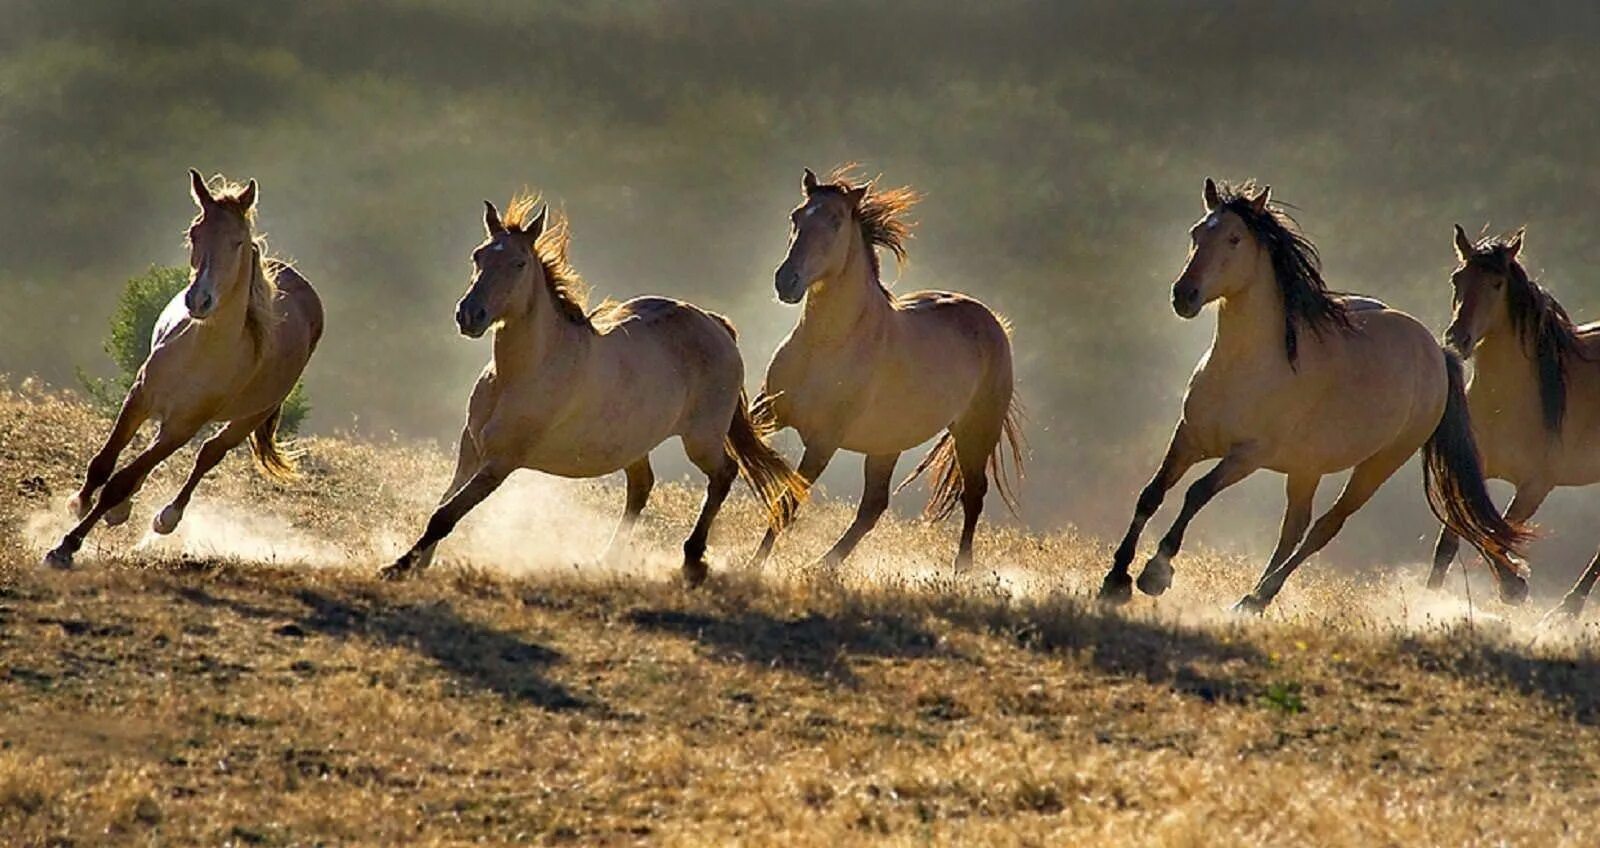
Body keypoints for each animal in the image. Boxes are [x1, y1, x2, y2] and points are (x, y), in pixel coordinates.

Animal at [45, 168, 324, 563]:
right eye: (195, 232)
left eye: (238, 242)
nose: (199, 300)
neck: (199, 353)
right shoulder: (140, 396)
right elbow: (103, 462)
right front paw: (78, 504)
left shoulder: (184, 426)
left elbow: (120, 482)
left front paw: (66, 547)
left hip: (249, 417)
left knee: (209, 455)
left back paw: (166, 518)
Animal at [380, 195, 806, 585]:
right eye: (478, 256)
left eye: (519, 263)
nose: (470, 315)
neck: (521, 374)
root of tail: (717, 325)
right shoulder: (471, 449)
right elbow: (443, 505)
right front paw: (419, 563)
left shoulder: (501, 461)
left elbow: (446, 514)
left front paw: (398, 567)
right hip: (635, 443)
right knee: (641, 486)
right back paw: (605, 560)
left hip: (701, 437)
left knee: (723, 474)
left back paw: (692, 561)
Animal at [748, 164, 1024, 566]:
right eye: (796, 216)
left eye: (835, 221)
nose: (786, 281)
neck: (826, 344)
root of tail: (994, 322)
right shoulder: (768, 411)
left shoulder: (824, 441)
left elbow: (787, 503)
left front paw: (750, 567)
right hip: (886, 443)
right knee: (873, 507)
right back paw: (821, 566)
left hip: (974, 431)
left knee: (973, 495)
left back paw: (960, 570)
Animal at [1100, 178, 1523, 611]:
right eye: (1197, 232)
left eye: (1234, 238)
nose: (1184, 295)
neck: (1246, 367)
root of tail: (1437, 352)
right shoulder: (1189, 436)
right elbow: (1151, 493)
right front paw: (1115, 581)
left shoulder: (1247, 455)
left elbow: (1195, 493)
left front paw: (1154, 574)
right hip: (1308, 465)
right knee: (1295, 527)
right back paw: (1252, 600)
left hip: (1379, 464)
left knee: (1324, 527)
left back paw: (1259, 597)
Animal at [1433, 224, 1600, 617]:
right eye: (1457, 278)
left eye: (1497, 283)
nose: (1457, 338)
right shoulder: (1470, 471)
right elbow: (1452, 542)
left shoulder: (1535, 486)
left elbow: (1497, 533)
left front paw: (1514, 587)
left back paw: (1567, 609)